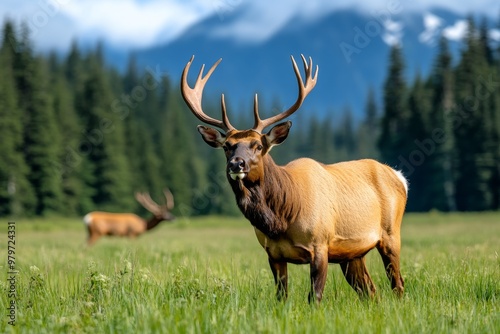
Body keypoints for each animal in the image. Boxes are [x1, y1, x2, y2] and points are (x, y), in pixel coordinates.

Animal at [182, 55, 408, 302]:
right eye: (227, 146)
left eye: (258, 145)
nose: (236, 164)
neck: (282, 217)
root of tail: (399, 176)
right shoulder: (273, 254)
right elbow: (282, 296)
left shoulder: (320, 244)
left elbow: (314, 297)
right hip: (352, 254)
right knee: (370, 291)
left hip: (390, 234)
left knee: (398, 284)